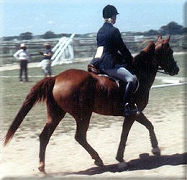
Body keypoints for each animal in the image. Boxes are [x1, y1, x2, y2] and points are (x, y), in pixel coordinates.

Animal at [3, 35, 178, 173]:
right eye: (169, 52)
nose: (176, 69)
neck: (139, 73)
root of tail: (56, 78)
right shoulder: (132, 113)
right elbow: (125, 134)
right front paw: (121, 159)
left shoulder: (136, 112)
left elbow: (149, 125)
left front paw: (155, 148)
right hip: (83, 114)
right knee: (80, 136)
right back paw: (98, 160)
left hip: (56, 114)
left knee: (45, 136)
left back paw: (42, 167)